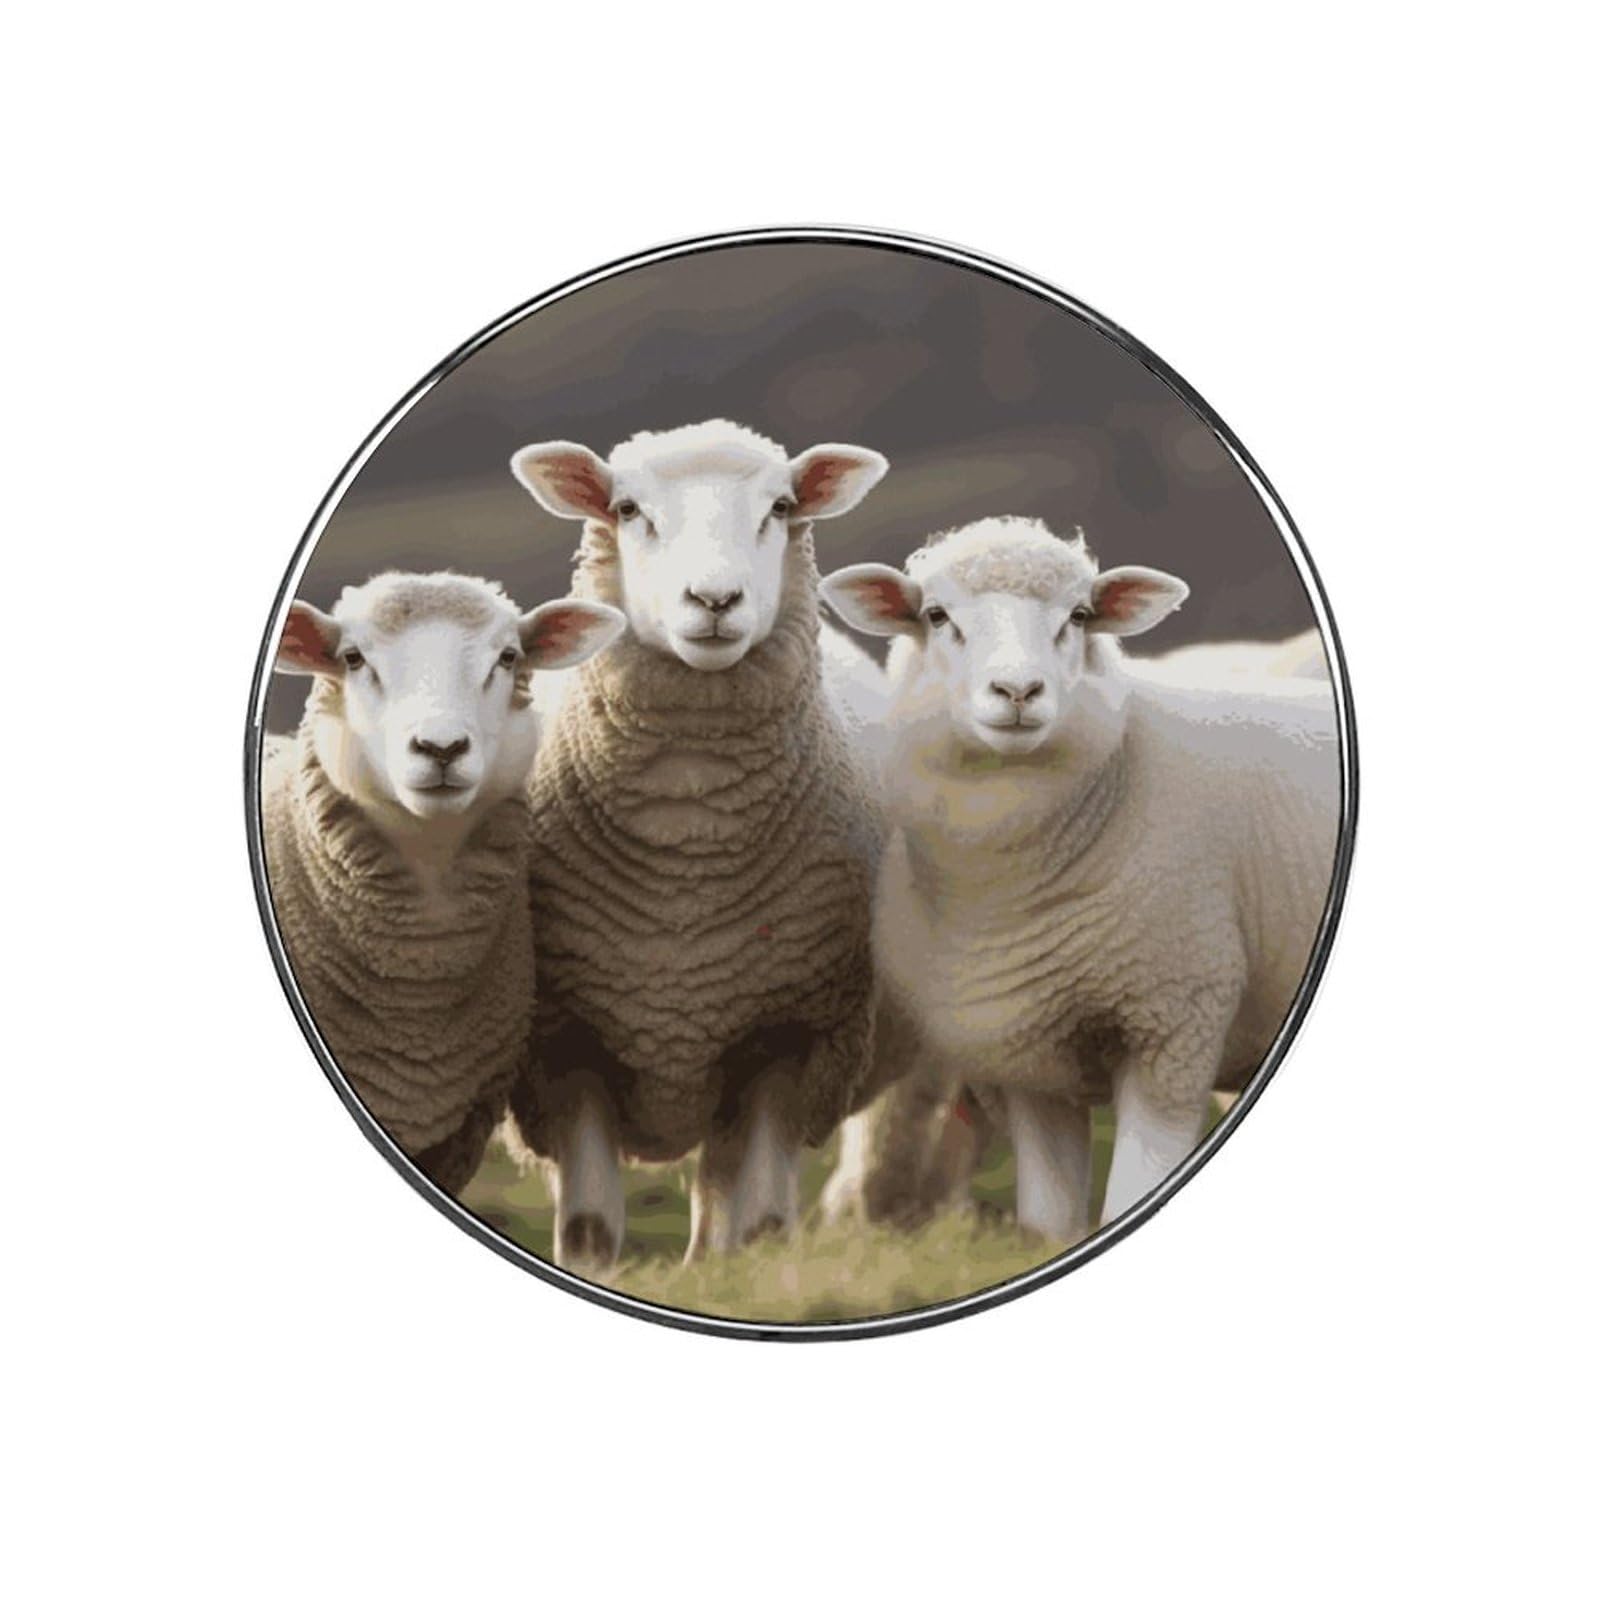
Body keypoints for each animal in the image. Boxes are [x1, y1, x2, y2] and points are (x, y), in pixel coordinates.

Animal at [505, 419, 889, 1267]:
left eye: (780, 507)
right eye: (627, 508)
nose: (714, 601)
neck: (690, 837)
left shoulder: (788, 1035)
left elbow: (767, 1224)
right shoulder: (564, 1044)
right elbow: (589, 1229)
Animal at [818, 517, 1341, 1244]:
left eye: (1080, 616)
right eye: (936, 615)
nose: (1018, 693)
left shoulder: (1173, 1024)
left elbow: (1129, 1193)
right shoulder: (1025, 1055)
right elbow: (1049, 1220)